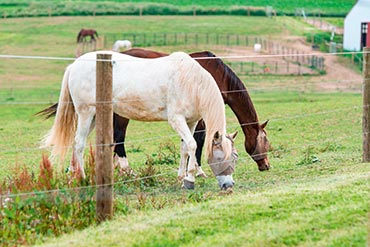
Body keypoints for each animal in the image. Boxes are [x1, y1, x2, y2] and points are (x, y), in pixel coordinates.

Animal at [36, 48, 270, 176]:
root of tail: (73, 66)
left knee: (85, 142)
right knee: (96, 141)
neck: (213, 74)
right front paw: (198, 171)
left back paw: (76, 172)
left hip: (96, 115)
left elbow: (186, 145)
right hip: (97, 114)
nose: (266, 165)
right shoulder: (201, 119)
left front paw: (186, 173)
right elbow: (198, 142)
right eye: (265, 142)